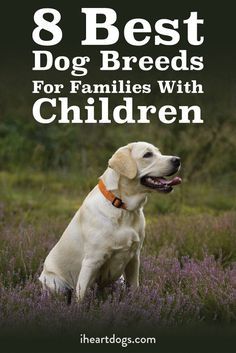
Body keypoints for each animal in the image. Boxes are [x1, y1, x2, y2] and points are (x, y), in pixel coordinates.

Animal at [39, 142, 182, 302]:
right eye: (147, 155)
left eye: (159, 152)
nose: (177, 160)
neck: (123, 207)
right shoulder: (91, 261)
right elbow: (80, 298)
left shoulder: (134, 258)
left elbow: (134, 288)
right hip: (56, 284)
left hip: (119, 280)